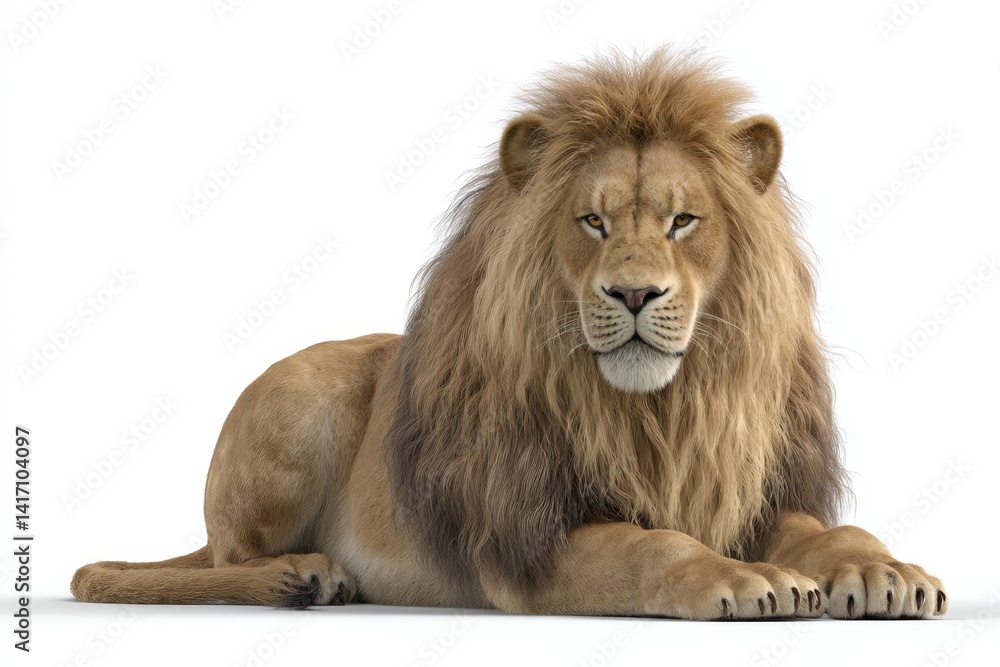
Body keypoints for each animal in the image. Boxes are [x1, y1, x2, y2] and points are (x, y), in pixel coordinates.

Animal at [72, 49, 947, 620]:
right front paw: (741, 579)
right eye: (592, 221)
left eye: (683, 220)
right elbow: (651, 547)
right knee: (221, 562)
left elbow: (821, 528)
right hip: (299, 397)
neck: (658, 412)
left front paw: (880, 568)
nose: (635, 292)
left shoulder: (744, 487)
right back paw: (304, 576)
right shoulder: (523, 541)